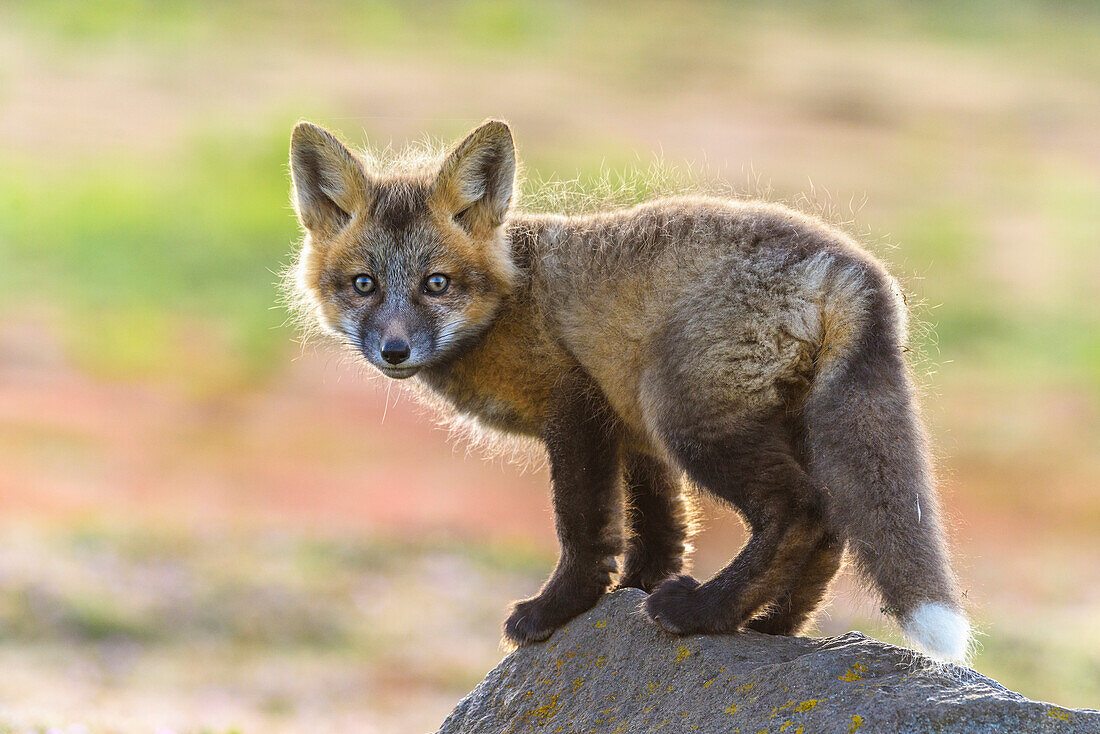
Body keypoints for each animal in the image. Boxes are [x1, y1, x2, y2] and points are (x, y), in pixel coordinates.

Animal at [286, 119, 972, 660]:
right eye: (364, 285)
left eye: (436, 283)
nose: (394, 350)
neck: (512, 299)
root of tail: (853, 267)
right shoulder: (631, 429)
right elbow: (661, 528)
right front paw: (634, 587)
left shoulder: (578, 407)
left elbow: (586, 527)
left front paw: (558, 609)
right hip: (758, 424)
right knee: (831, 523)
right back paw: (773, 626)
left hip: (690, 420)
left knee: (800, 510)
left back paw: (706, 614)